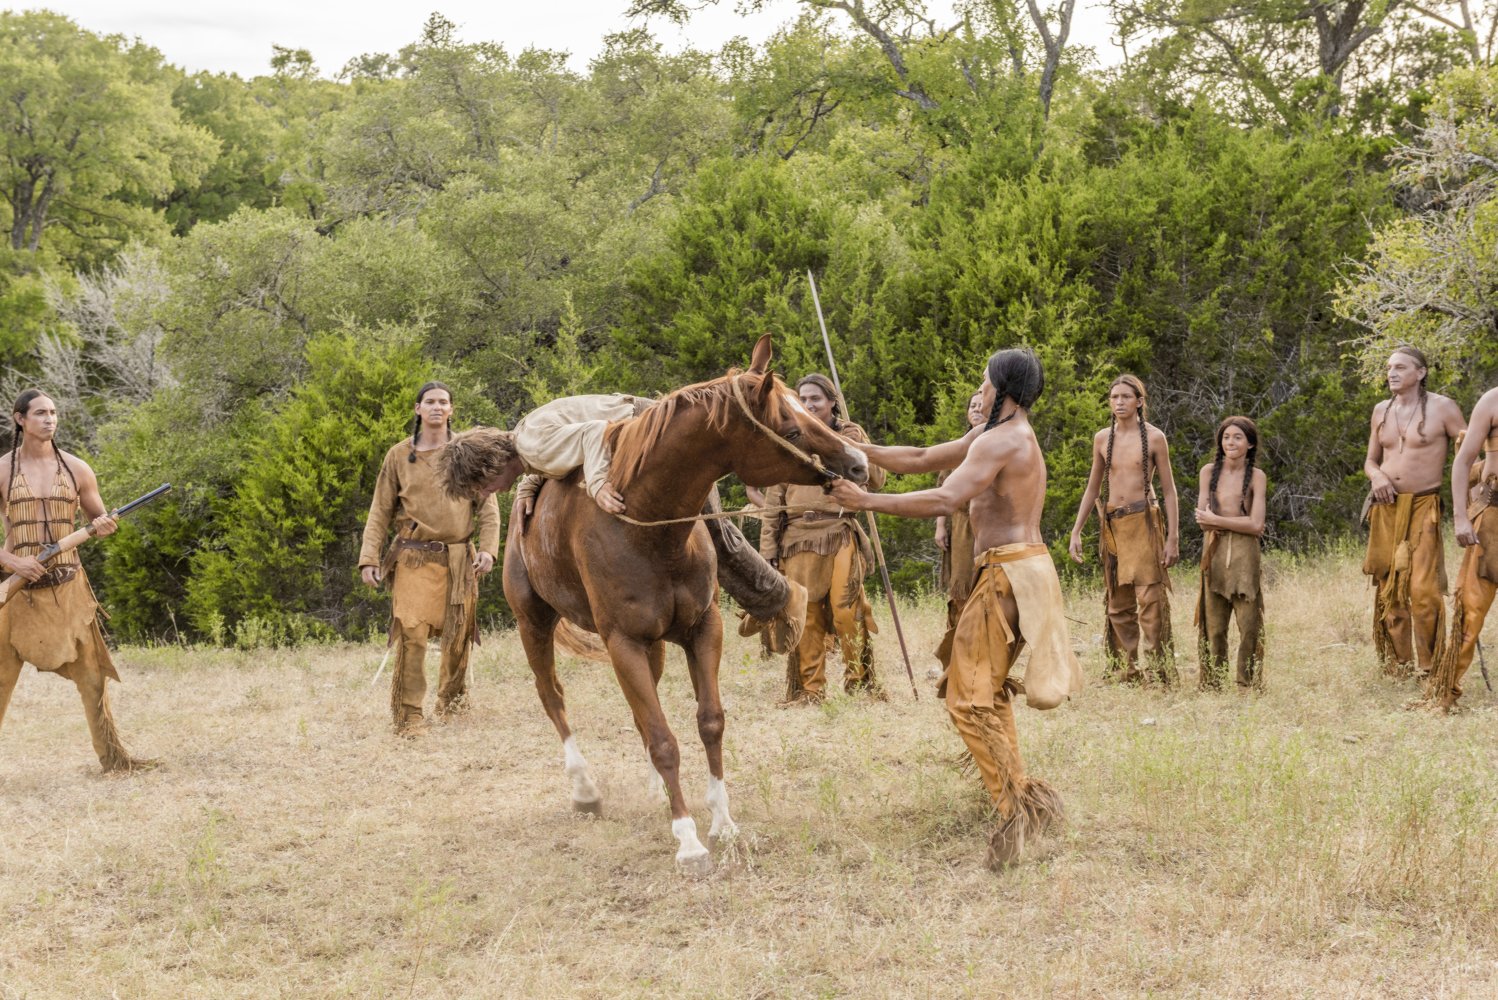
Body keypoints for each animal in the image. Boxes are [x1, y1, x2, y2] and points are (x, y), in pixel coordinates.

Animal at [509, 332, 874, 868]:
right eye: (791, 427)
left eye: (809, 412)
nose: (859, 464)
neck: (649, 526)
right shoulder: (623, 642)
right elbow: (663, 738)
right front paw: (688, 839)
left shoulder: (702, 629)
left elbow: (708, 722)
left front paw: (723, 822)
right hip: (533, 621)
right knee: (552, 696)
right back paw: (585, 790)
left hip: (653, 646)